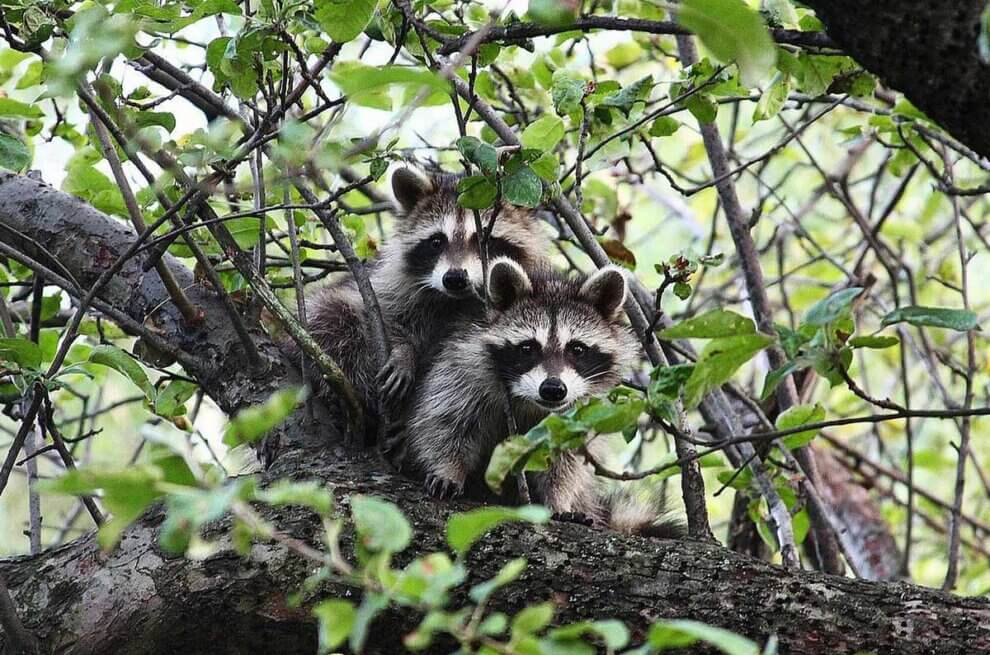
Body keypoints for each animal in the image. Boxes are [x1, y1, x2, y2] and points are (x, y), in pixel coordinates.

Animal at [306, 165, 552, 440]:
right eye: (437, 241)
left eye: (485, 240)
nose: (454, 279)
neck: (456, 300)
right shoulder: (389, 284)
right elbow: (378, 312)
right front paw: (403, 351)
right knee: (332, 317)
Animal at [402, 258, 680, 540]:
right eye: (528, 347)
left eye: (577, 349)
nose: (553, 389)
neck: (529, 402)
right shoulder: (463, 367)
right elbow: (445, 421)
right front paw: (447, 469)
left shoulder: (580, 411)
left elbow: (566, 460)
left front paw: (558, 500)